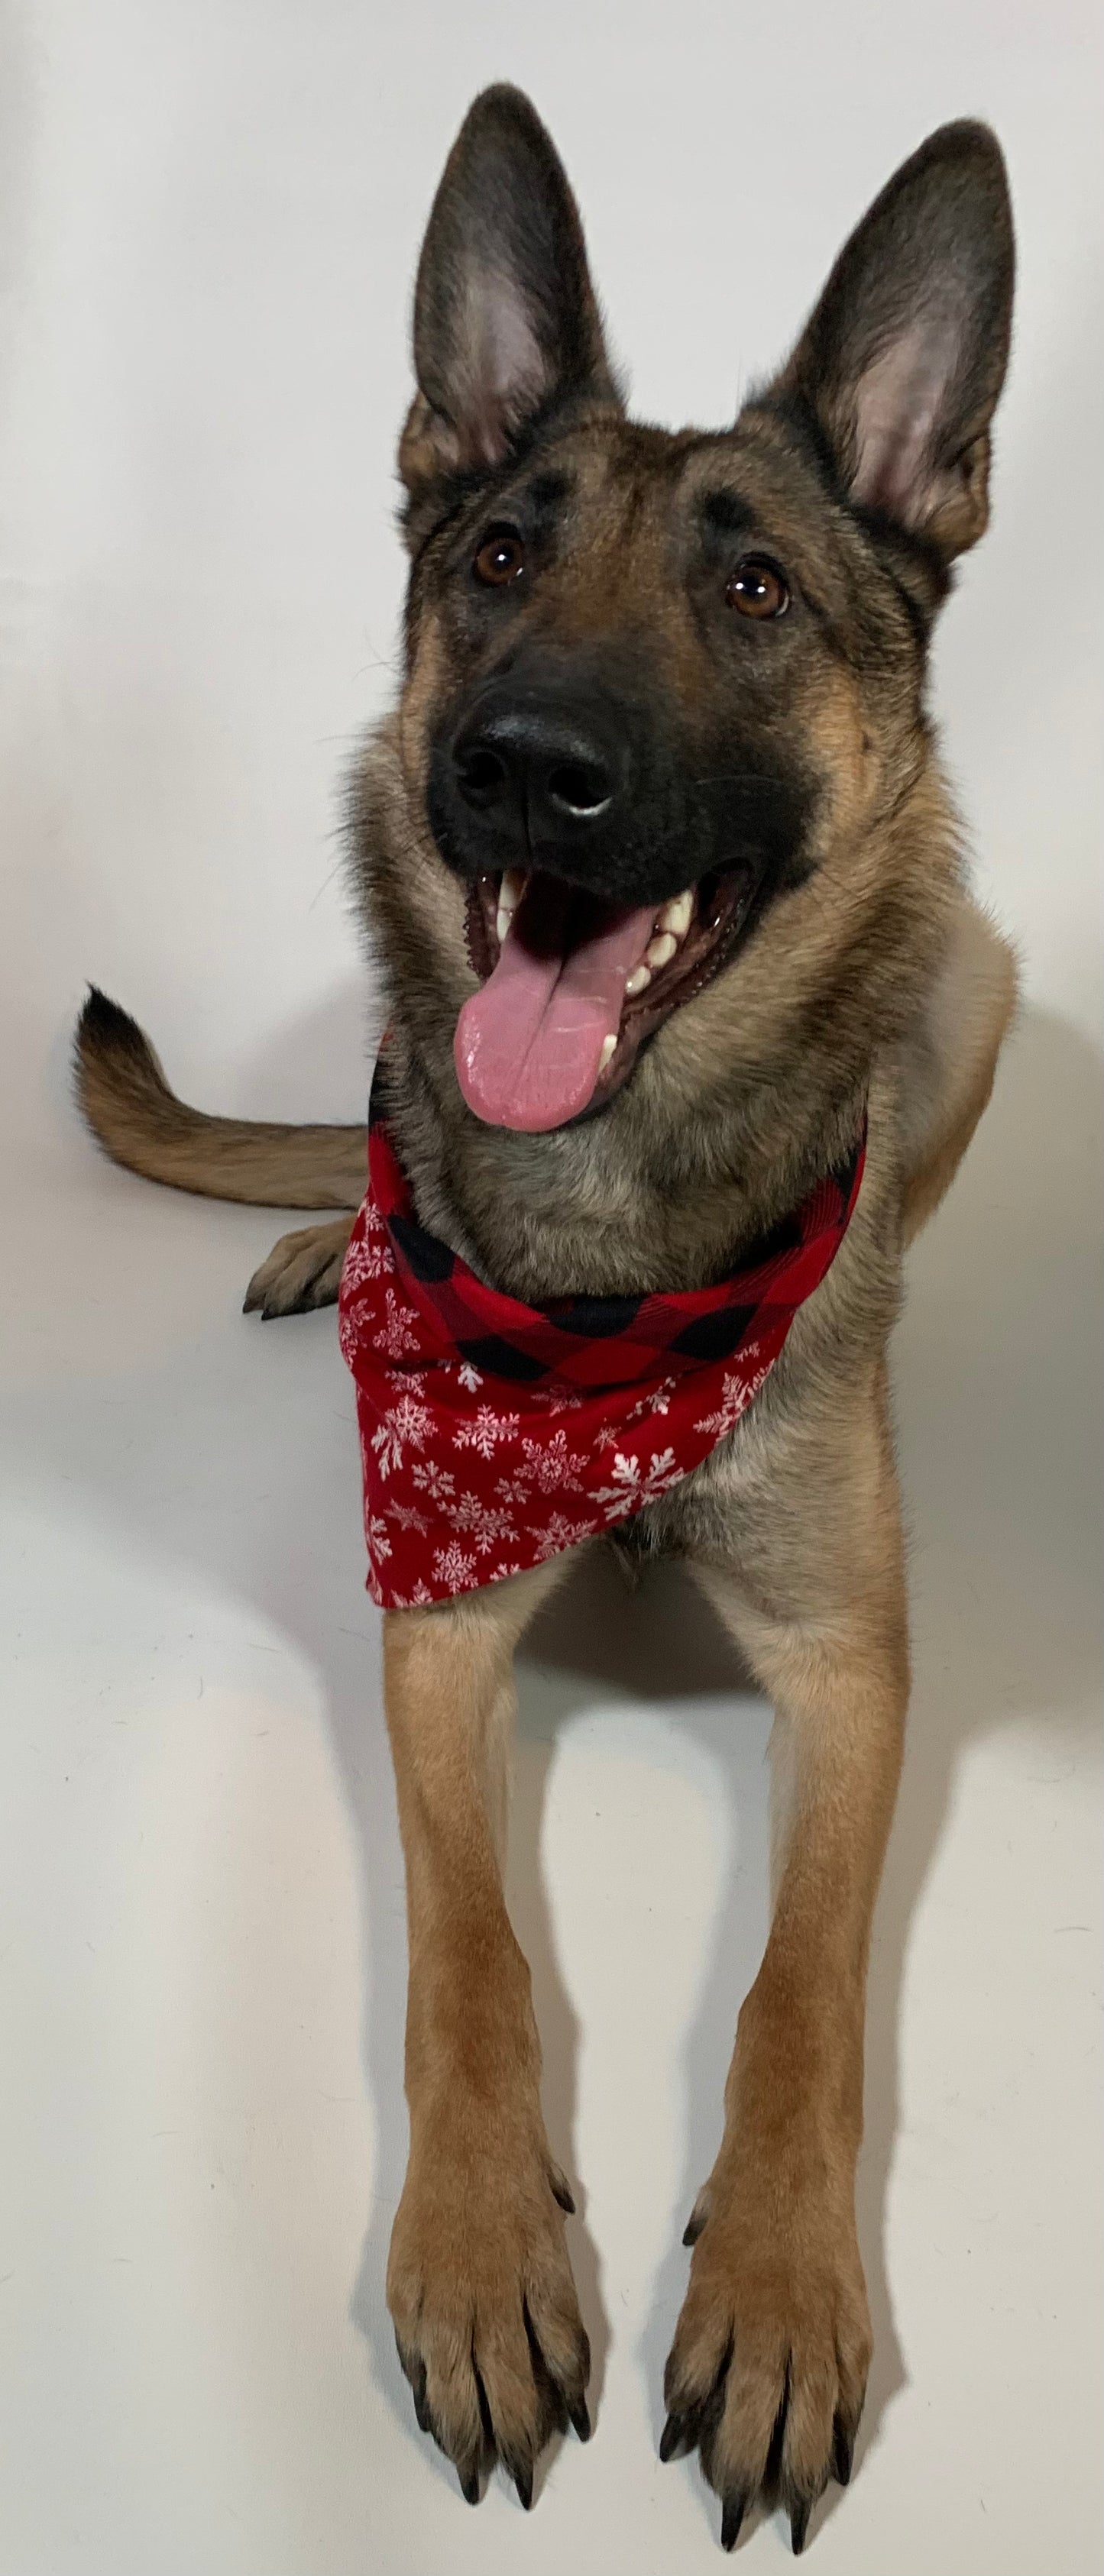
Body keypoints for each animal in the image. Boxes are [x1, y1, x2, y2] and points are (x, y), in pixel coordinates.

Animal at [75, 86, 1016, 2555]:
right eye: (499, 551)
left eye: (754, 590)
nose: (519, 760)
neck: (613, 1293)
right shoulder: (430, 1622)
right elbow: (465, 1960)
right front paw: (485, 2252)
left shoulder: (852, 1662)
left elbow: (800, 1994)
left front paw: (775, 2289)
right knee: (360, 1137)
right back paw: (330, 1235)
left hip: (975, 965)